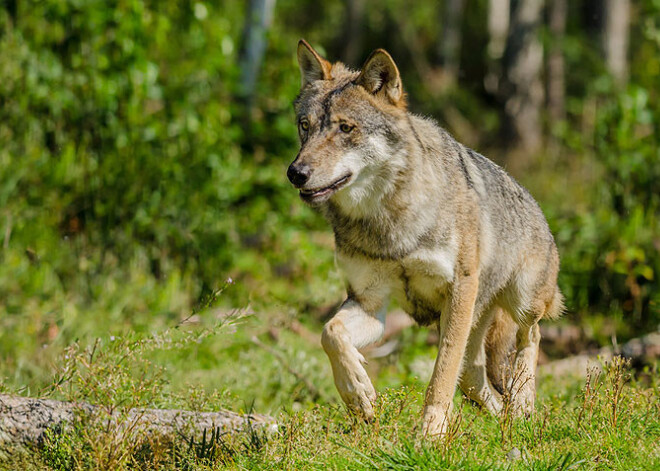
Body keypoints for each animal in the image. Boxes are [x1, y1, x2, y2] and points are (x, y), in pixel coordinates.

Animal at [284, 40, 564, 438]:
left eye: (346, 128)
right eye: (304, 126)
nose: (295, 173)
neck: (387, 223)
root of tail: (536, 203)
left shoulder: (459, 290)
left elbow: (441, 374)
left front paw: (430, 433)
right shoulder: (370, 303)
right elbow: (330, 332)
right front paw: (358, 394)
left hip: (522, 301)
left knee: (531, 337)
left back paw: (524, 403)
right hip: (477, 325)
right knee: (476, 379)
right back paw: (503, 422)